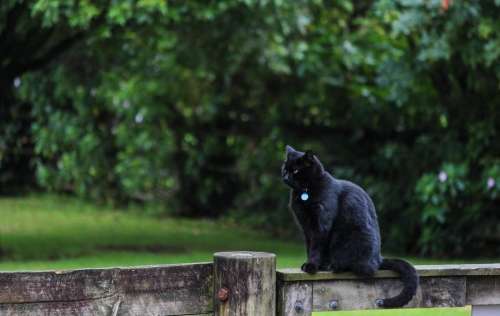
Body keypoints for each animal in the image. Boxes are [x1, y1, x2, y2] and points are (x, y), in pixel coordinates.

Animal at [282, 146, 418, 308]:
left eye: (296, 170)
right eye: (285, 168)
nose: (285, 177)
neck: (306, 192)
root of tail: (379, 258)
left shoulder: (321, 226)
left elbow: (316, 248)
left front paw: (312, 266)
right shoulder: (306, 228)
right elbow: (310, 247)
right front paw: (314, 265)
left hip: (346, 237)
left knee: (364, 268)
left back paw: (334, 266)